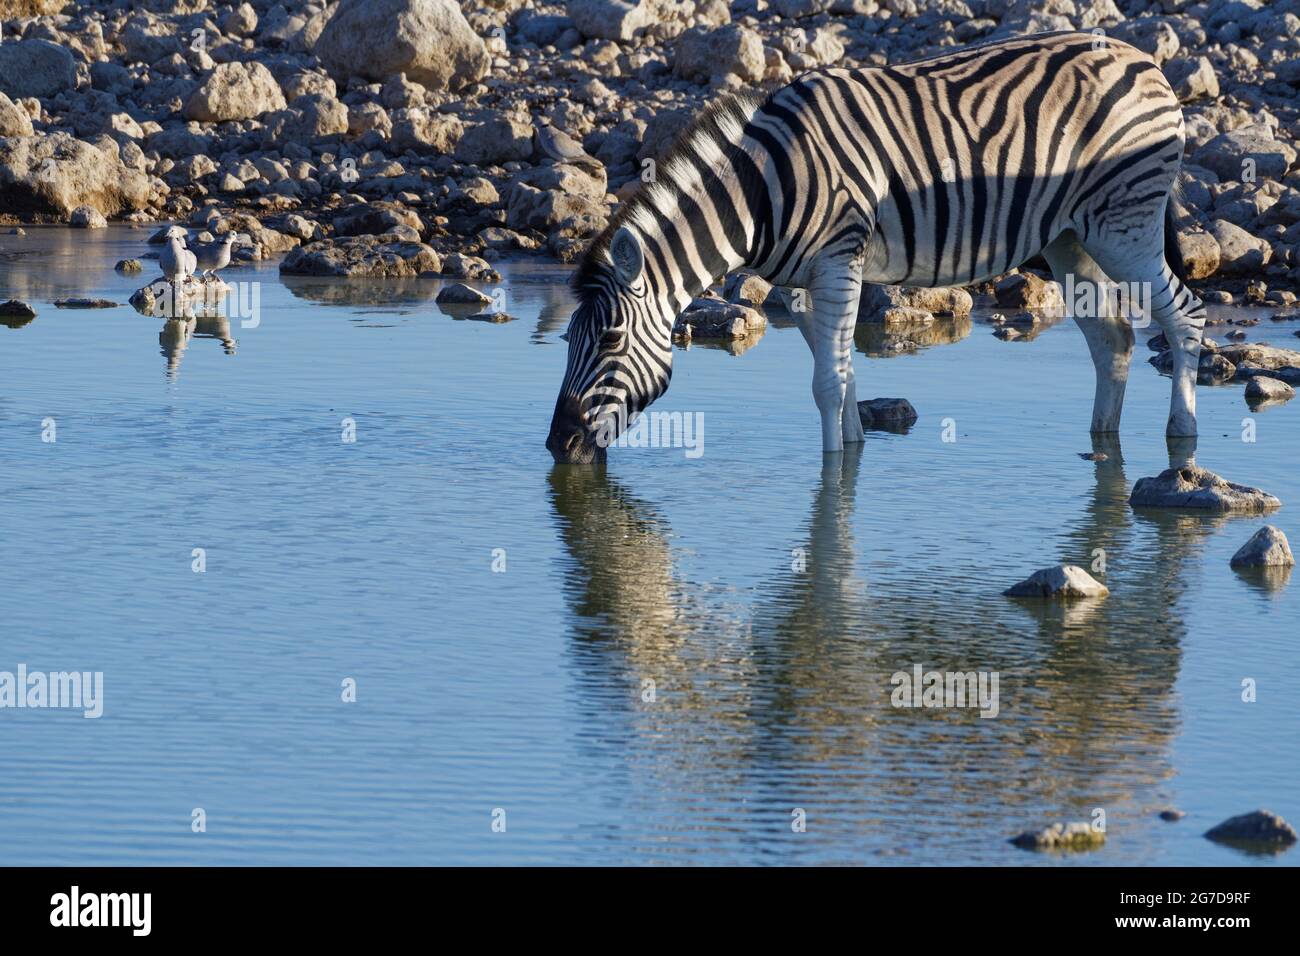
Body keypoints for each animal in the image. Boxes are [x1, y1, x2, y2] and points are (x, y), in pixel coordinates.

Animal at [543, 29, 1201, 463]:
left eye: (609, 339)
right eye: (566, 341)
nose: (557, 444)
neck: (763, 193)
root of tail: (1145, 60)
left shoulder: (840, 260)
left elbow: (827, 384)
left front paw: (832, 478)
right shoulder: (804, 284)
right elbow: (842, 375)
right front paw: (852, 457)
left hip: (1127, 226)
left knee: (1185, 316)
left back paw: (1183, 435)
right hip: (1070, 238)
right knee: (1113, 338)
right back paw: (1103, 441)